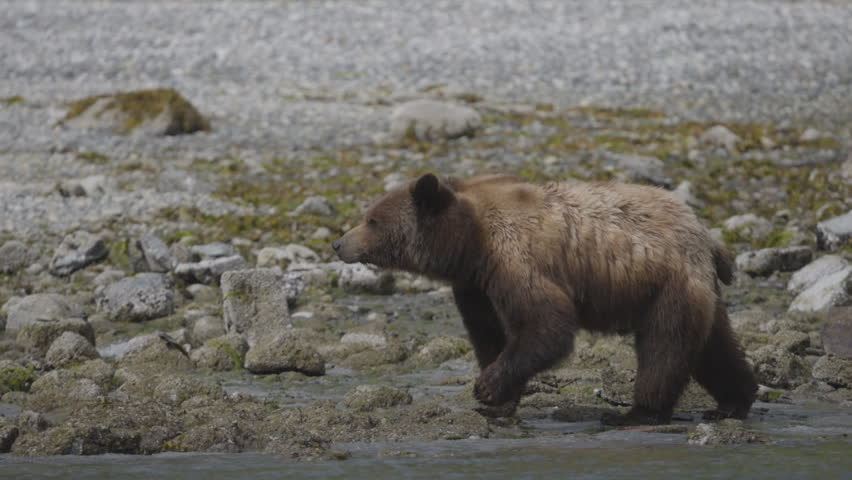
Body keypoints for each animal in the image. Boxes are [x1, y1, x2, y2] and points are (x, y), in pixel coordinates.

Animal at [333, 173, 757, 425]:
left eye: (372, 220)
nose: (339, 243)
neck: (471, 241)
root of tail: (706, 234)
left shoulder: (516, 259)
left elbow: (547, 325)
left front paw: (488, 388)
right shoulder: (475, 286)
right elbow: (490, 334)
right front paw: (497, 401)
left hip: (668, 284)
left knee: (664, 346)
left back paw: (637, 411)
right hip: (695, 288)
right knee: (714, 346)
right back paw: (734, 401)